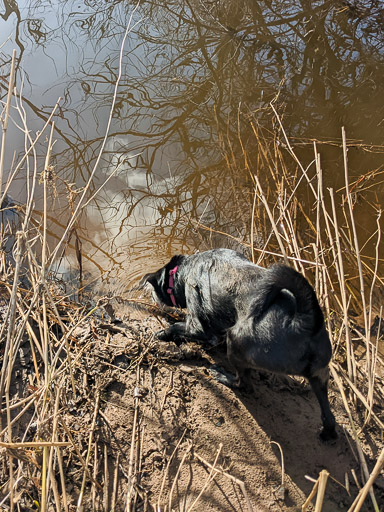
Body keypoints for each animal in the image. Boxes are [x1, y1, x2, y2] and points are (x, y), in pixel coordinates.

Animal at [140, 248, 336, 440]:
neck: (186, 269)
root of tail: (305, 322)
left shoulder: (197, 323)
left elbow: (180, 328)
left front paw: (163, 333)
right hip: (319, 377)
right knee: (328, 414)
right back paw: (327, 432)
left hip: (235, 343)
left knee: (243, 384)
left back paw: (222, 375)